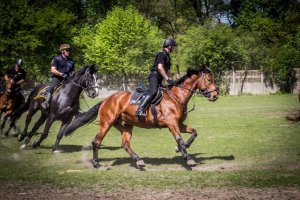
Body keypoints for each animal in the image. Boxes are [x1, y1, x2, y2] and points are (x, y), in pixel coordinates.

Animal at [63, 65, 218, 167]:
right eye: (209, 80)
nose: (215, 95)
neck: (176, 96)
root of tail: (106, 100)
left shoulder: (178, 124)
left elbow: (194, 132)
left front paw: (183, 147)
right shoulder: (172, 123)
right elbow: (179, 138)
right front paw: (187, 157)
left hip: (126, 125)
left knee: (125, 144)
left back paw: (138, 159)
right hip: (106, 123)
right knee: (96, 142)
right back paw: (95, 163)